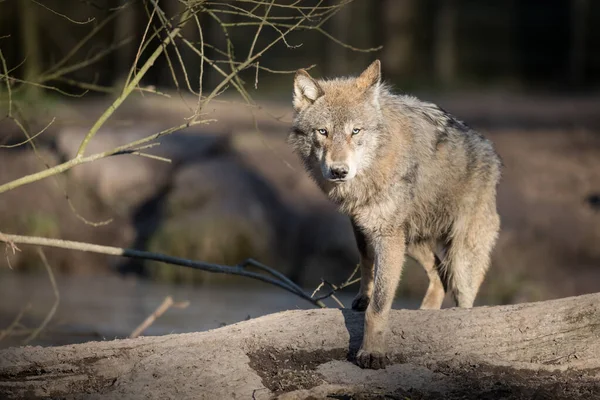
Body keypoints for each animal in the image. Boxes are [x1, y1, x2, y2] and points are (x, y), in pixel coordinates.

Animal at [288, 61, 502, 370]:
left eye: (355, 131)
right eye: (323, 132)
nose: (339, 171)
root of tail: (490, 150)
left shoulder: (386, 234)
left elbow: (379, 306)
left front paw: (372, 353)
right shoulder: (363, 226)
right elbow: (366, 263)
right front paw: (363, 298)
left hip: (459, 257)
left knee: (462, 295)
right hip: (408, 241)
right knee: (438, 272)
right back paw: (427, 312)